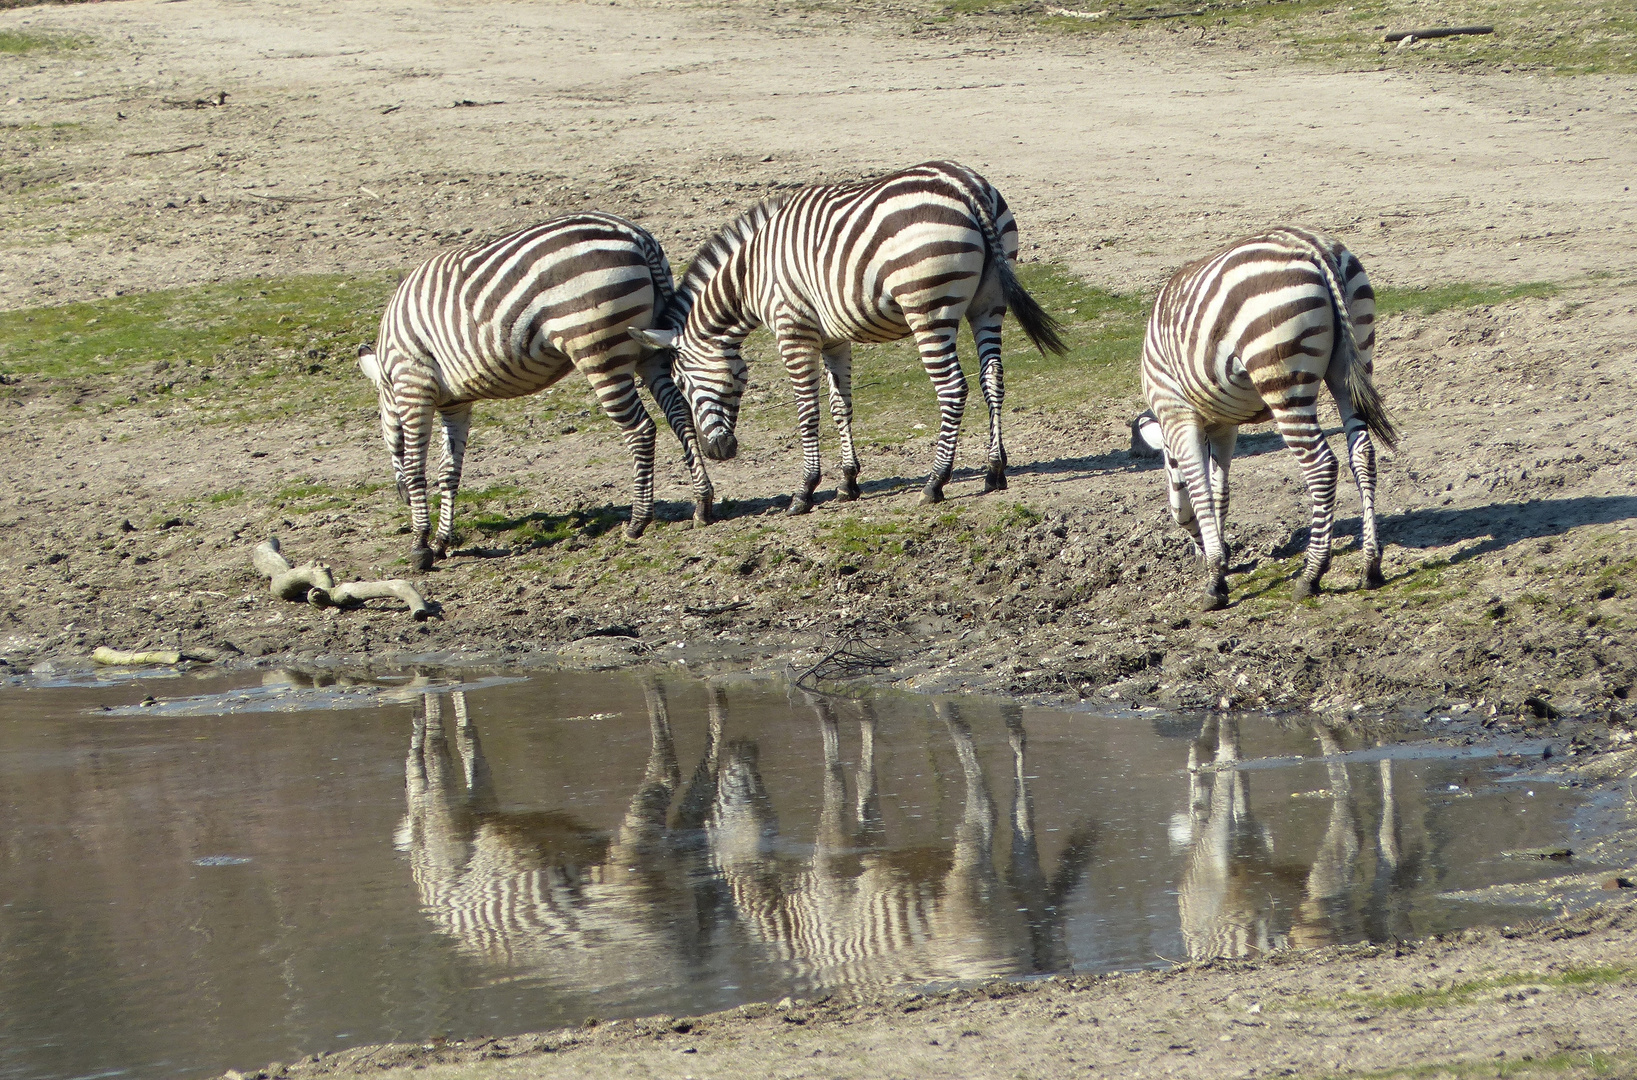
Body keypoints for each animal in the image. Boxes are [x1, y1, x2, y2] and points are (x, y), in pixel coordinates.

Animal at [358, 208, 717, 572]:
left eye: (386, 437)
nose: (400, 497)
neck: (388, 371)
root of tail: (636, 236)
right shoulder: (456, 404)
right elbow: (449, 472)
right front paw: (442, 540)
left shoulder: (413, 385)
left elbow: (416, 468)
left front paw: (420, 544)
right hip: (648, 346)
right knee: (679, 412)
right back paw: (702, 502)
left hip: (599, 350)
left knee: (641, 430)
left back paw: (638, 521)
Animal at [622, 161, 1060, 513]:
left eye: (682, 382)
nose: (718, 452)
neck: (750, 275)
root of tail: (966, 186)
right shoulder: (834, 339)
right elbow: (840, 406)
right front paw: (848, 481)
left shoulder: (793, 332)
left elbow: (807, 411)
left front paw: (804, 490)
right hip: (988, 305)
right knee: (993, 379)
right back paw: (994, 471)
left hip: (929, 309)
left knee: (953, 389)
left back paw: (935, 482)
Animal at [1139, 227, 1394, 608]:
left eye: (1168, 472)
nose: (1198, 559)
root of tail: (1314, 248)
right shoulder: (1224, 425)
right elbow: (1220, 491)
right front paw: (1222, 561)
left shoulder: (1177, 413)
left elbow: (1200, 492)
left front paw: (1215, 581)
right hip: (1352, 364)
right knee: (1363, 453)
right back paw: (1370, 566)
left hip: (1282, 379)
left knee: (1322, 466)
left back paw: (1311, 575)